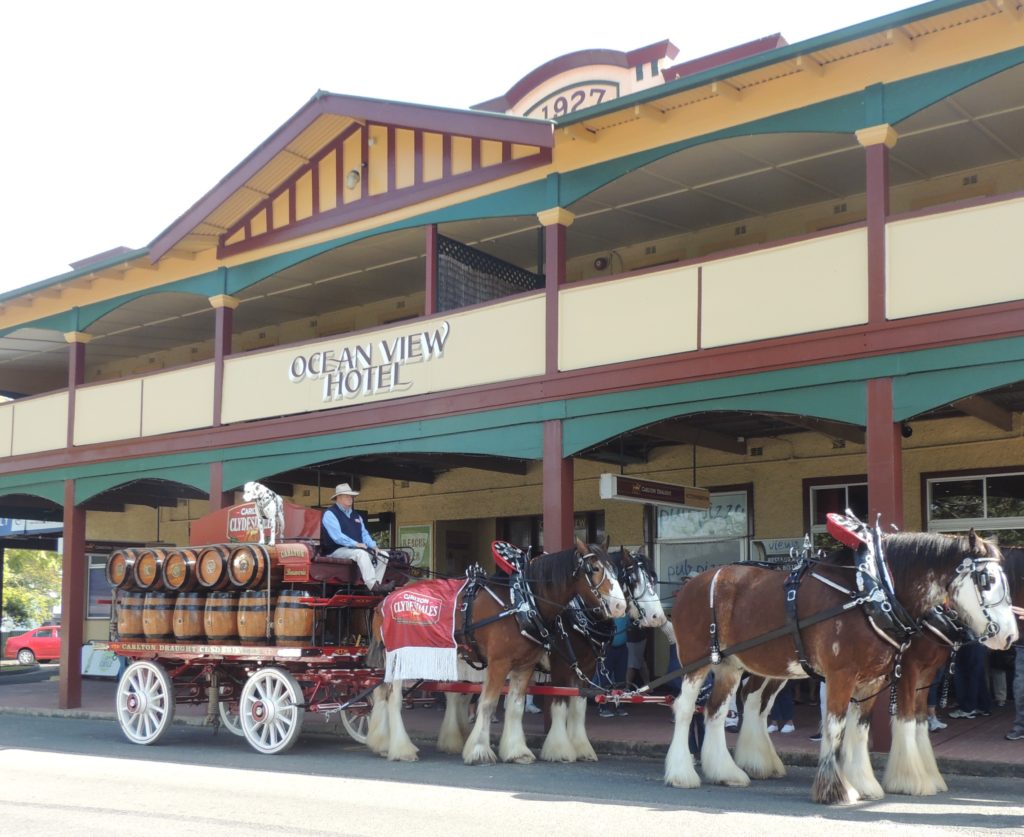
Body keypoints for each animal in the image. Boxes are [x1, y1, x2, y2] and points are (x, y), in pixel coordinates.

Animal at [368, 540, 622, 762]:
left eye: (616, 571)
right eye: (595, 568)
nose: (620, 606)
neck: (523, 602)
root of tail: (384, 601)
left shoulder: (530, 665)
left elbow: (519, 706)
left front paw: (517, 751)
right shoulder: (506, 663)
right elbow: (490, 704)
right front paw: (480, 751)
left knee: (396, 693)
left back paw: (385, 743)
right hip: (402, 657)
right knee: (393, 698)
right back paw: (401, 749)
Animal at [663, 528, 1015, 803]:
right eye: (986, 580)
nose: (1010, 635)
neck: (873, 596)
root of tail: (690, 585)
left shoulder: (879, 680)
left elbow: (863, 730)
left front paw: (866, 783)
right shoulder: (852, 675)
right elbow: (841, 726)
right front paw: (841, 789)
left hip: (737, 666)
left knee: (722, 710)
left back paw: (730, 770)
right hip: (696, 663)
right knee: (686, 708)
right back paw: (682, 773)